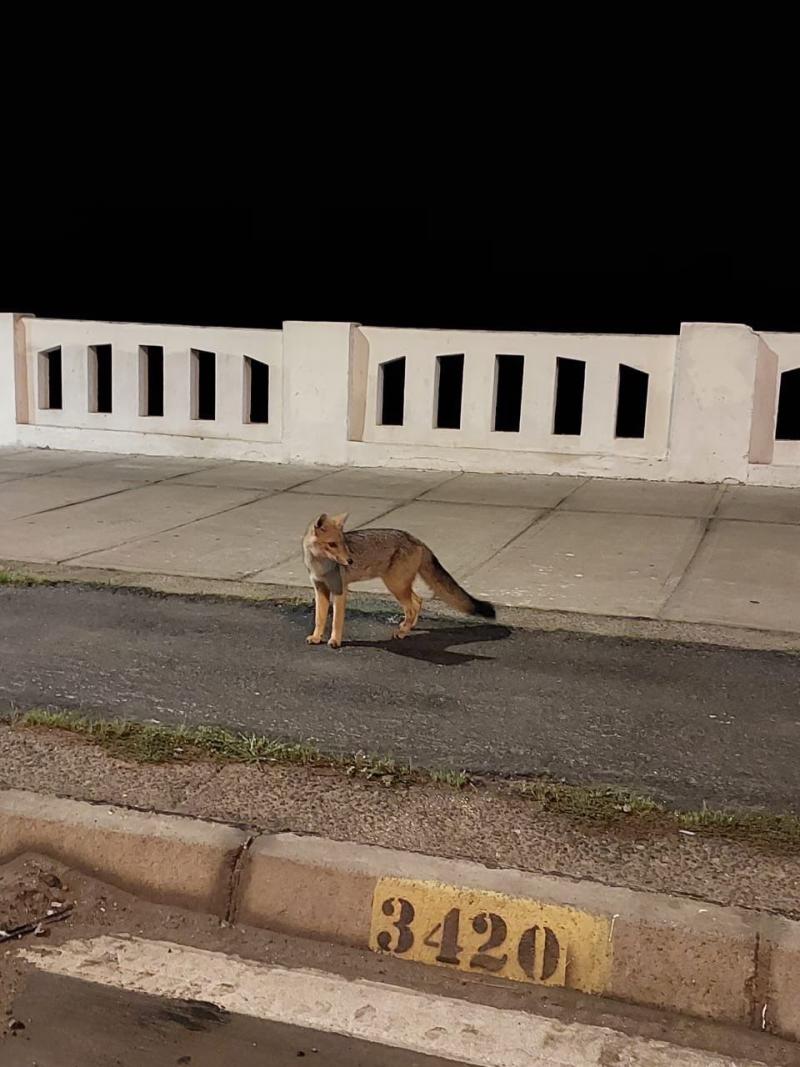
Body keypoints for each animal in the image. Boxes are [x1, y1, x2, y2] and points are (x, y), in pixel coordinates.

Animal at [302, 512, 496, 648]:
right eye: (332, 544)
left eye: (343, 543)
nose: (350, 561)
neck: (320, 567)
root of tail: (416, 539)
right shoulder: (320, 589)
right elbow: (319, 618)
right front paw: (317, 637)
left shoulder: (339, 590)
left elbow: (336, 621)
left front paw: (335, 641)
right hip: (399, 586)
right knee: (418, 601)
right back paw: (408, 627)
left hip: (395, 586)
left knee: (412, 606)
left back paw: (402, 632)